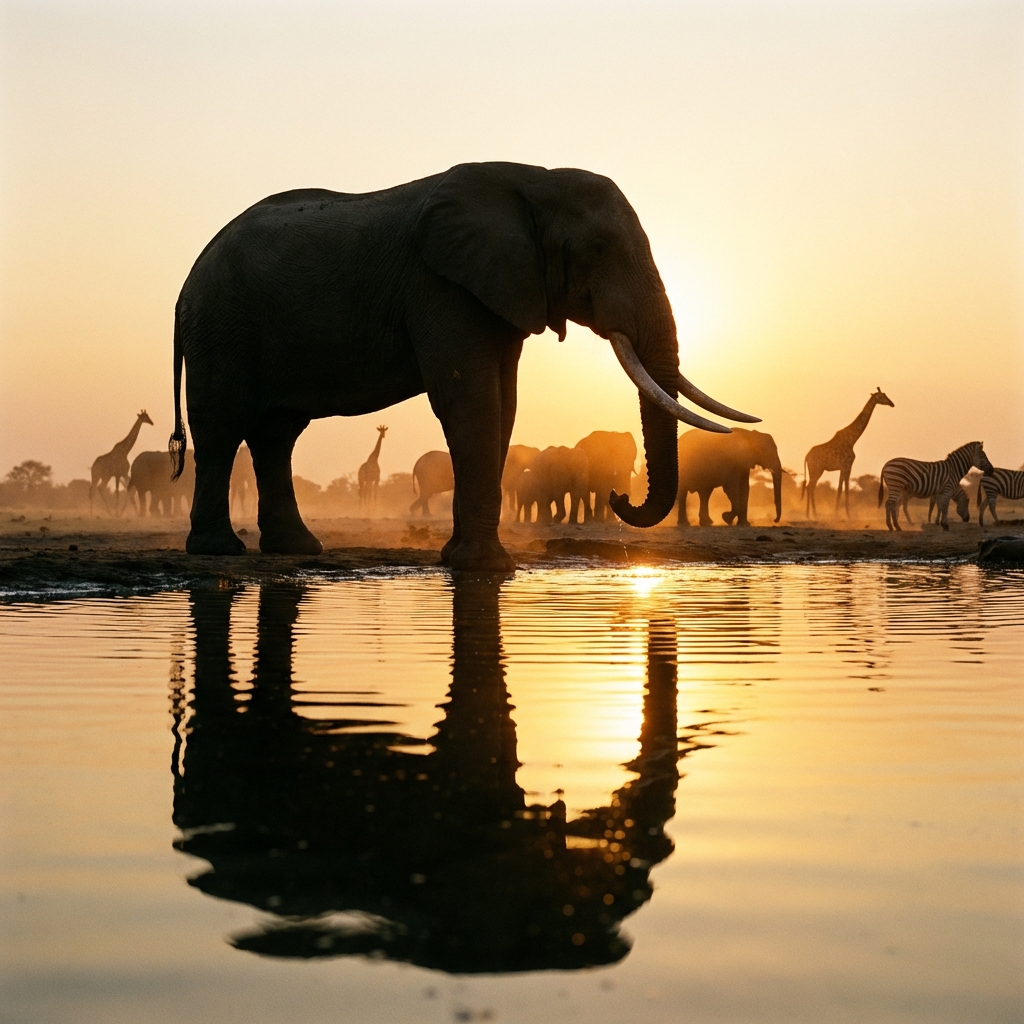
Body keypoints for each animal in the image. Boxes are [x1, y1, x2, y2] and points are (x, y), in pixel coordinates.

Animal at [169, 161, 756, 569]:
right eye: (597, 248)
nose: (619, 495)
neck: (533, 179)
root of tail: (188, 278)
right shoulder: (440, 285)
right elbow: (470, 398)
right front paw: (484, 567)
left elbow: (504, 402)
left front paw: (468, 563)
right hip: (221, 327)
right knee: (222, 425)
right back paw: (219, 551)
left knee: (277, 434)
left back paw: (298, 550)